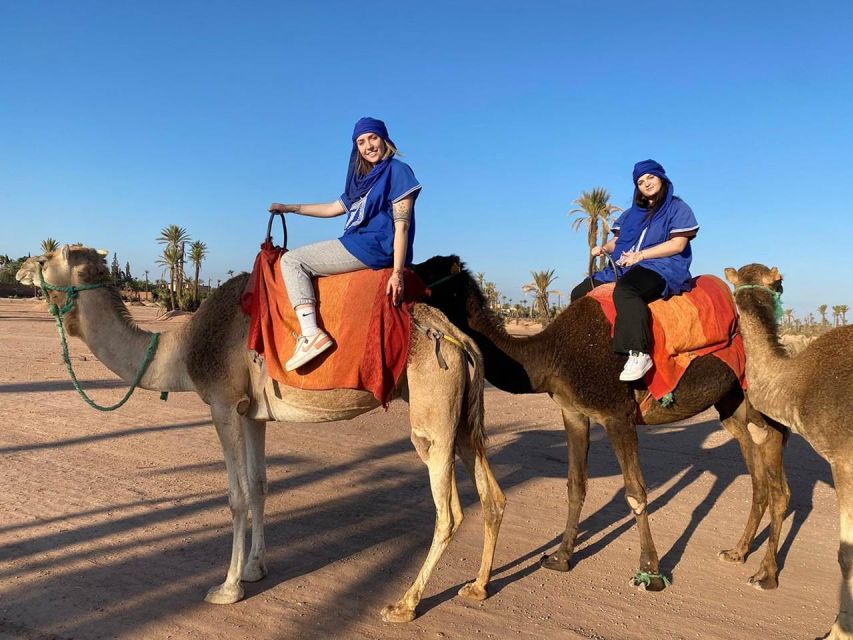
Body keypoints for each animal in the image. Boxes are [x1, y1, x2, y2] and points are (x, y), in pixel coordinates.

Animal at [18, 242, 506, 624]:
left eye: (45, 257)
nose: (20, 268)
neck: (182, 349)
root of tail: (460, 339)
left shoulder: (222, 404)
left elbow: (235, 496)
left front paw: (227, 587)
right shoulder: (252, 414)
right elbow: (259, 485)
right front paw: (255, 568)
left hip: (432, 411)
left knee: (449, 511)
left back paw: (404, 605)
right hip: (462, 418)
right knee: (492, 495)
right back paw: (478, 587)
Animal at [416, 254, 788, 592]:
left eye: (428, 269)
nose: (403, 277)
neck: (550, 355)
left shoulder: (616, 415)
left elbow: (636, 492)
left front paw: (650, 573)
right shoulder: (573, 413)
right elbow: (575, 485)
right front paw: (560, 557)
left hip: (756, 400)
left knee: (774, 463)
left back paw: (766, 574)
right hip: (732, 405)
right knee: (757, 473)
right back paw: (738, 552)